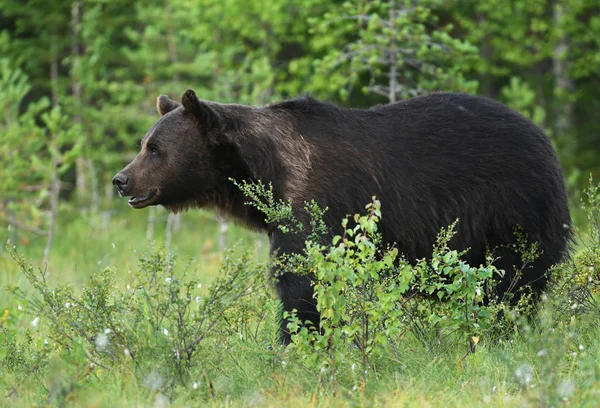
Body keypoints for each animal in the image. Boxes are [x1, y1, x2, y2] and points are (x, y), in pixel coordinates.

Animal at [113, 89, 572, 344]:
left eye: (154, 148)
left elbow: (300, 281)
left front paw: (293, 343)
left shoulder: (312, 200)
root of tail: (547, 142)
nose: (121, 180)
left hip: (512, 207)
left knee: (515, 280)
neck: (266, 169)